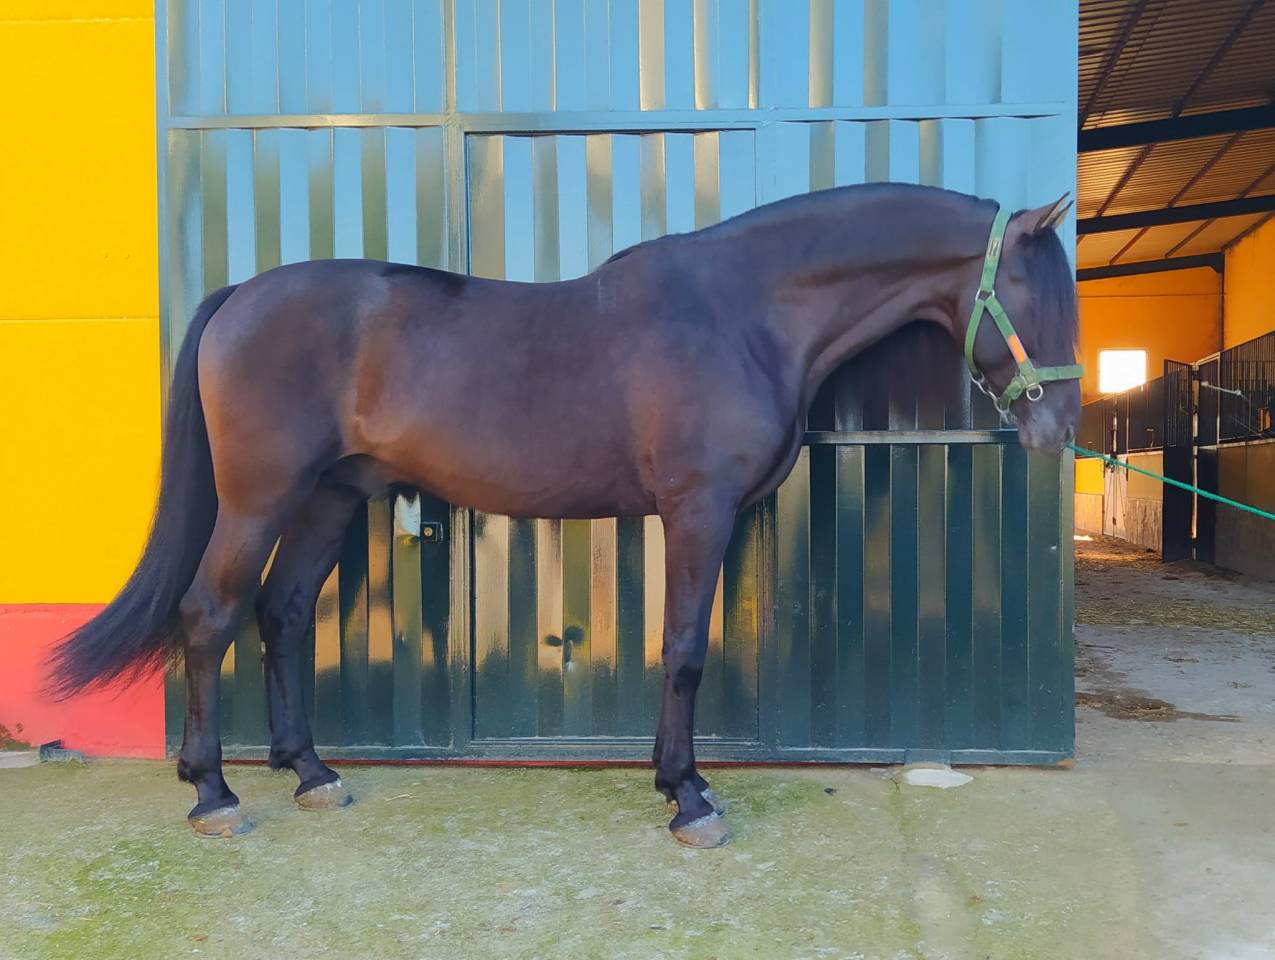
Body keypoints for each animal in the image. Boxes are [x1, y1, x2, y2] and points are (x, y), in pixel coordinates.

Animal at [52, 182, 1081, 847]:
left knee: (285, 613)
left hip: (331, 496)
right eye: (1031, 291)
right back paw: (214, 793)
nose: (1057, 429)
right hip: (261, 497)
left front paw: (679, 781)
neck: (741, 312)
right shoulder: (695, 510)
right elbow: (682, 648)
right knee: (210, 615)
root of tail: (240, 297)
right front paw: (688, 799)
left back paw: (311, 773)